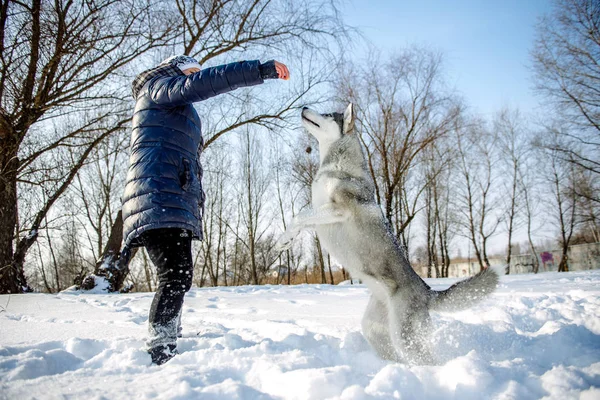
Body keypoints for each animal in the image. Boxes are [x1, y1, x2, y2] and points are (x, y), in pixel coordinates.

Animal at [278, 104, 500, 366]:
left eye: (328, 114)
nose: (303, 106)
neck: (336, 167)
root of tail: (427, 292)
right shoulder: (321, 211)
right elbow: (301, 219)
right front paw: (286, 240)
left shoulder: (339, 209)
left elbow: (300, 216)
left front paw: (283, 239)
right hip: (375, 328)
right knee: (392, 352)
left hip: (405, 336)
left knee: (427, 360)